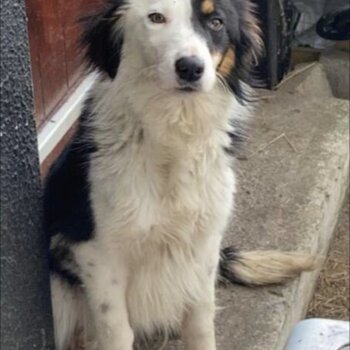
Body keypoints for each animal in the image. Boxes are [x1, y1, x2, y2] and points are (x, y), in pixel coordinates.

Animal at [44, 1, 318, 348]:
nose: (190, 68)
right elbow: (117, 330)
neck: (175, 130)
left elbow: (200, 321)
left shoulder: (204, 243)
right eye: (156, 18)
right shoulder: (98, 253)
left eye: (216, 22)